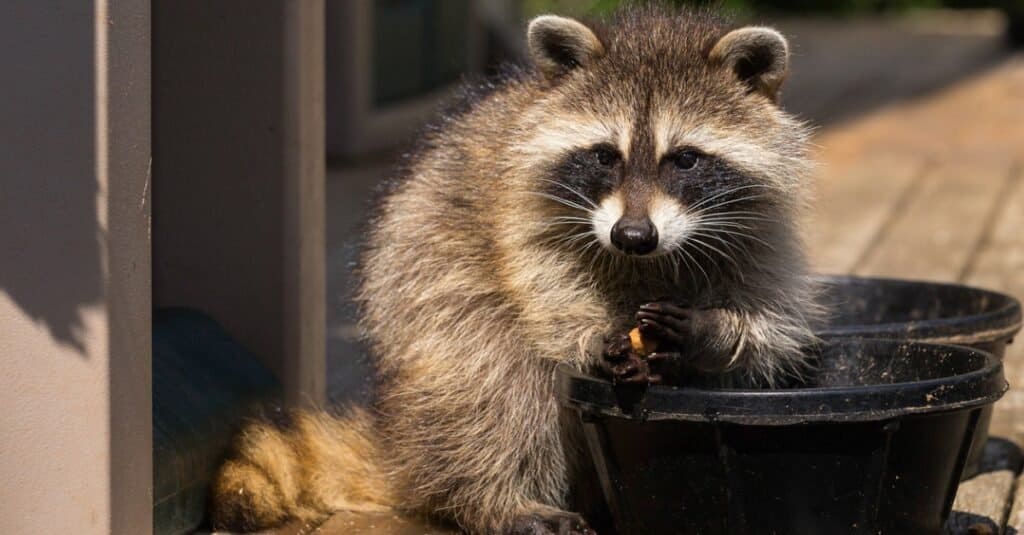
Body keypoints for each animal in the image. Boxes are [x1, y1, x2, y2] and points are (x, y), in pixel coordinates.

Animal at [211, 5, 819, 532]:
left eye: (686, 159)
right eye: (605, 155)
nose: (632, 236)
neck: (648, 261)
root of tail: (397, 445)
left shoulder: (761, 231)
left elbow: (768, 332)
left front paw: (711, 333)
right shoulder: (520, 208)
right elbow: (538, 285)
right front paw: (590, 335)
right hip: (427, 288)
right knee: (493, 380)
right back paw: (497, 499)